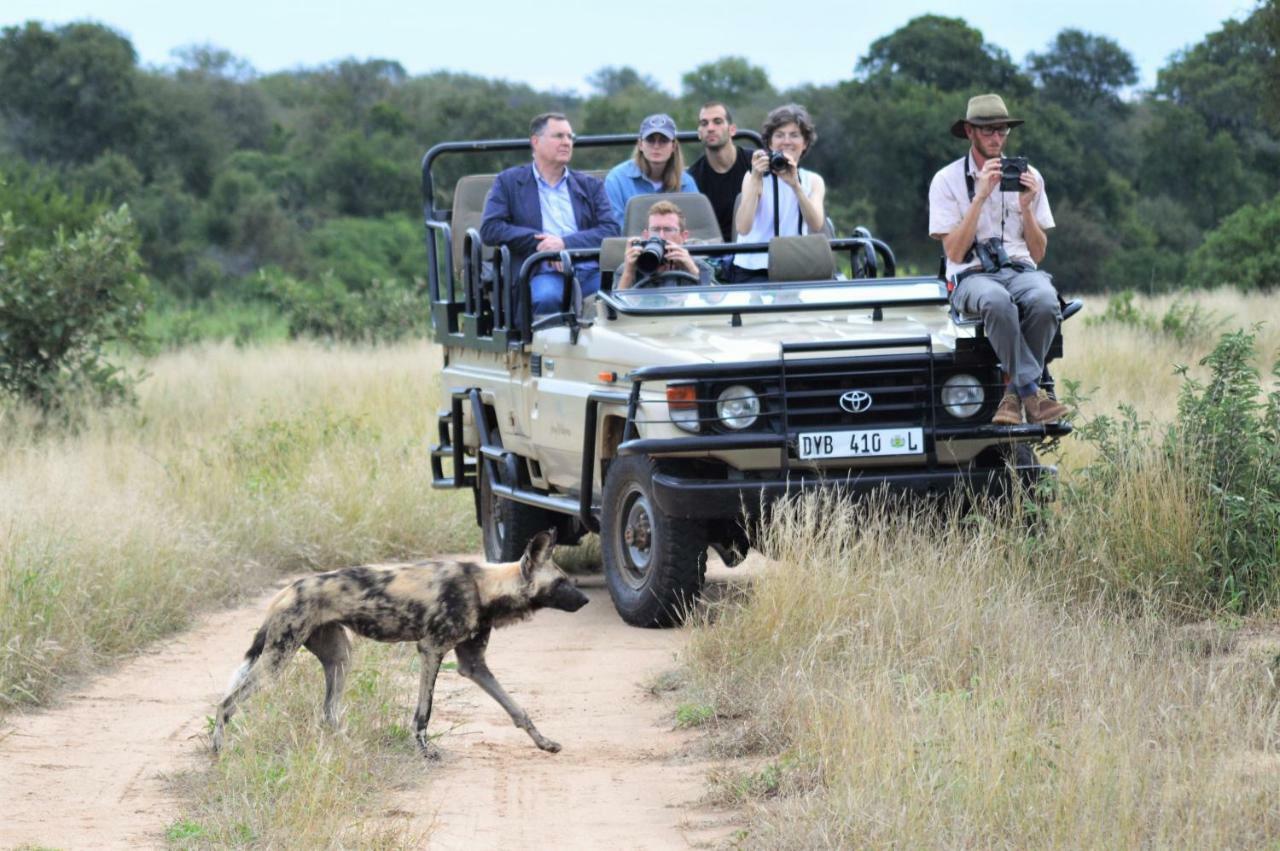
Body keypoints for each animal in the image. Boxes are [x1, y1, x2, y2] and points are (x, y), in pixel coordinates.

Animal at [212, 527, 586, 752]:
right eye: (562, 582)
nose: (585, 600)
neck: (484, 587)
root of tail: (288, 589)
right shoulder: (432, 650)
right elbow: (424, 712)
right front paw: (424, 751)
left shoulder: (474, 665)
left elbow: (517, 710)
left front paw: (544, 742)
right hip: (276, 662)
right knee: (226, 703)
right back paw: (218, 752)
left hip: (339, 658)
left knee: (329, 712)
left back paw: (350, 746)